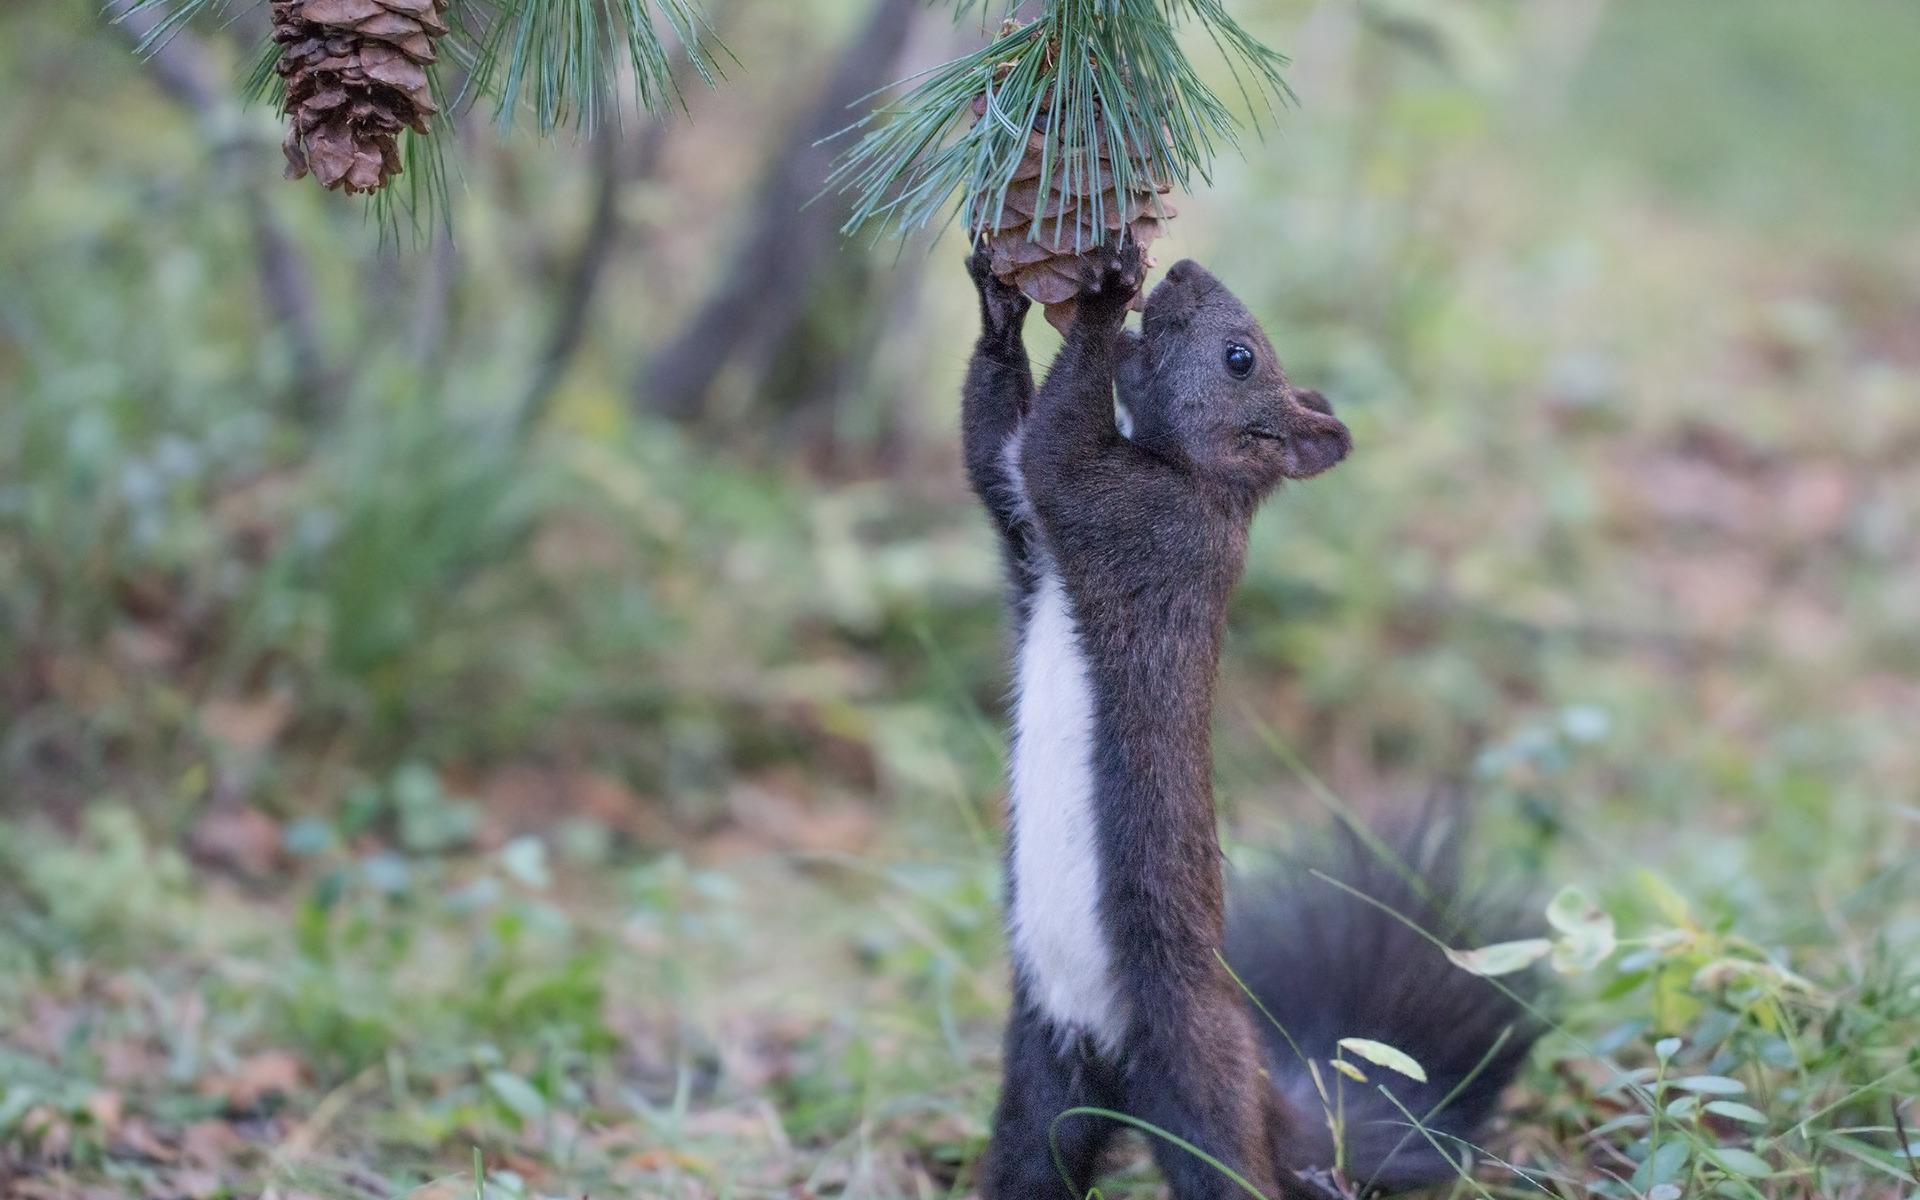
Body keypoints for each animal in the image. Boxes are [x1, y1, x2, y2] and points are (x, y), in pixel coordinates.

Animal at [967, 240, 1536, 1198]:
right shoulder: (1029, 536)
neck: (1204, 483)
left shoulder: (1133, 519)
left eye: (1241, 357)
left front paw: (1103, 297)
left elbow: (1056, 445)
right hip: (1044, 1082)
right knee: (1033, 1161)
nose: (1184, 269)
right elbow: (991, 448)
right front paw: (999, 304)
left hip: (1197, 1080)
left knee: (1230, 1170)